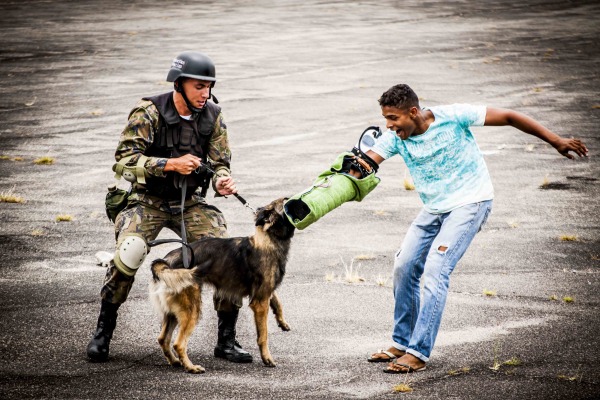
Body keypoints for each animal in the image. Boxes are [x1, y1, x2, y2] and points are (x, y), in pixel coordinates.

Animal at [150, 198, 296, 374]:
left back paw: (175, 362)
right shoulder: (260, 302)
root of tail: (166, 262)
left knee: (163, 339)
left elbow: (277, 301)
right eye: (286, 202)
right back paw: (191, 367)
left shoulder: (265, 292)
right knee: (178, 343)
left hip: (172, 313)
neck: (267, 239)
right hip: (192, 310)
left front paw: (282, 322)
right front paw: (267, 358)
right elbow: (263, 336)